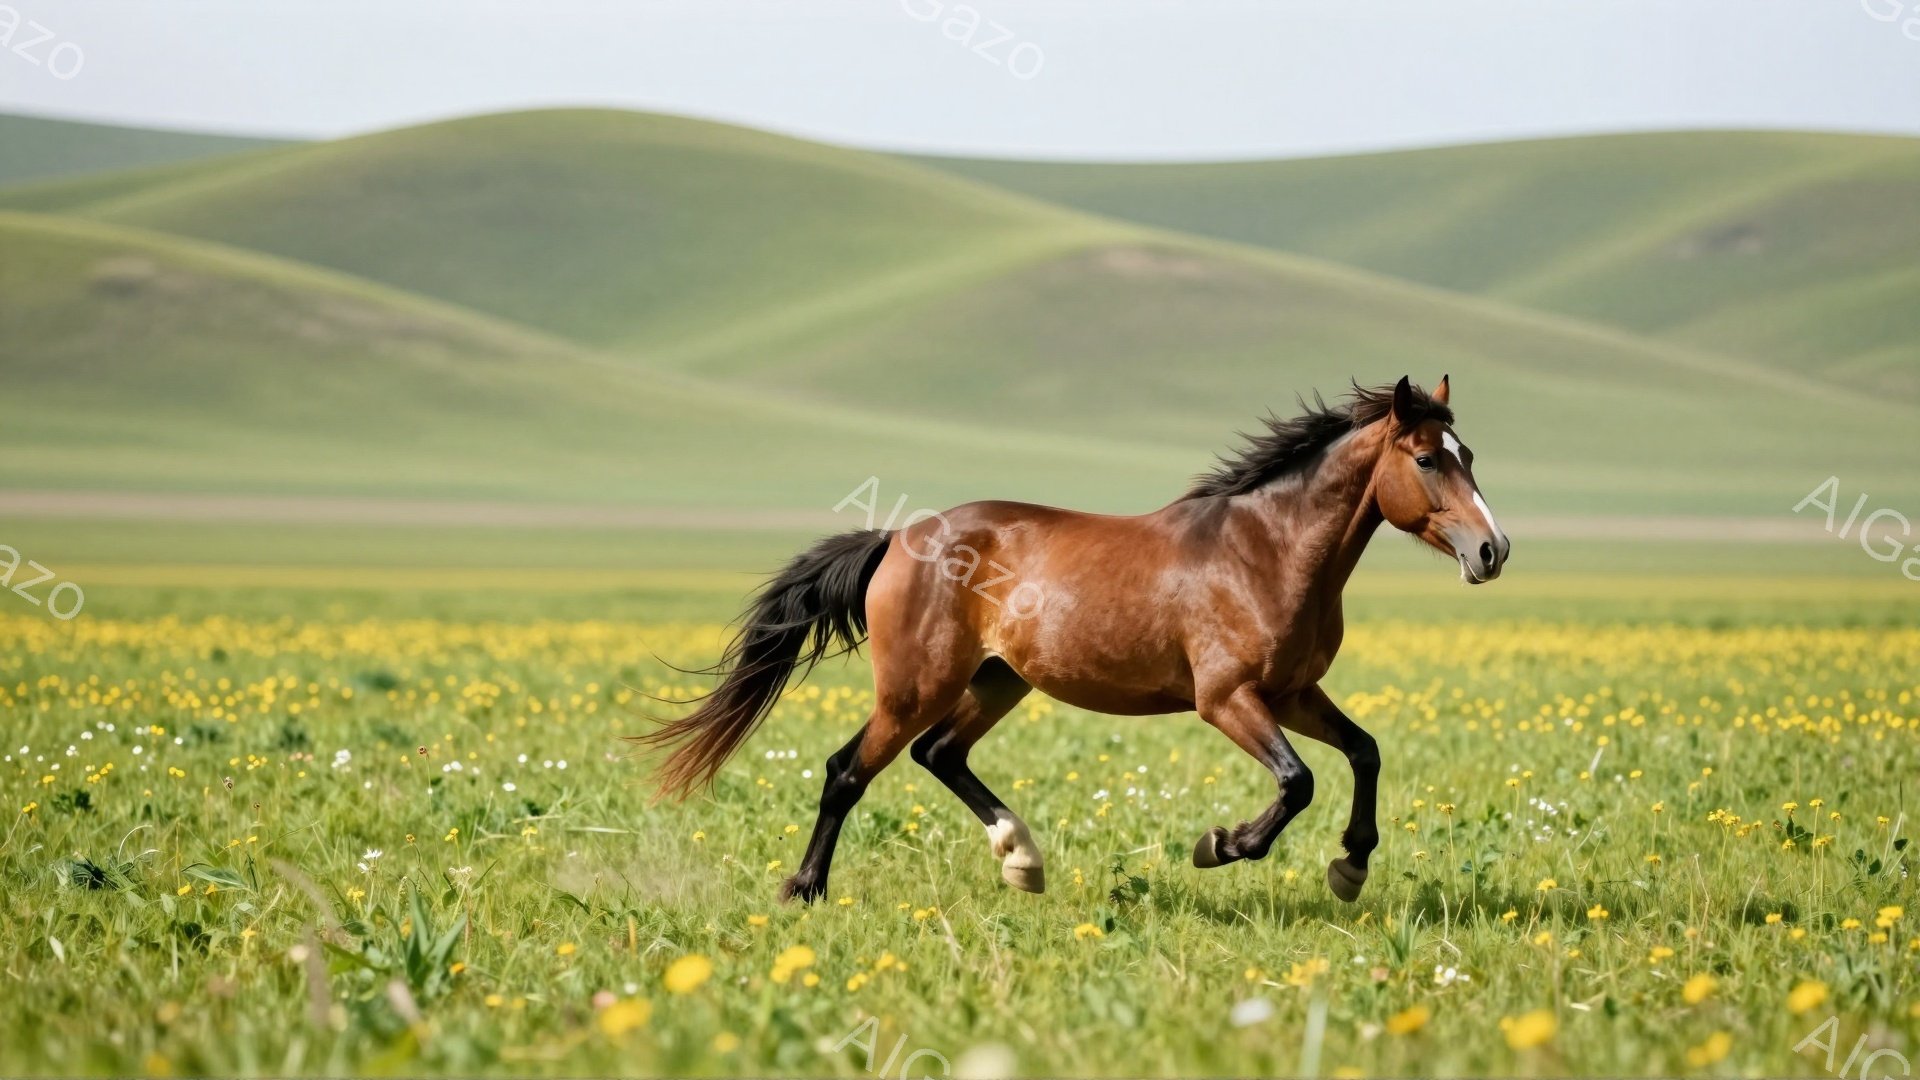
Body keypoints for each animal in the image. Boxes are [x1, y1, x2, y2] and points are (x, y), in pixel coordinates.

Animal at [633, 376, 1509, 904]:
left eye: (1469, 455)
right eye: (1427, 459)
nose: (1493, 551)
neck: (1265, 551)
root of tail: (897, 538)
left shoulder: (1293, 692)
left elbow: (1364, 752)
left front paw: (1350, 866)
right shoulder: (1227, 699)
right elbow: (1297, 782)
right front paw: (1220, 845)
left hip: (998, 680)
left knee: (938, 754)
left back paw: (1022, 859)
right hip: (917, 685)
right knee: (849, 771)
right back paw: (806, 889)